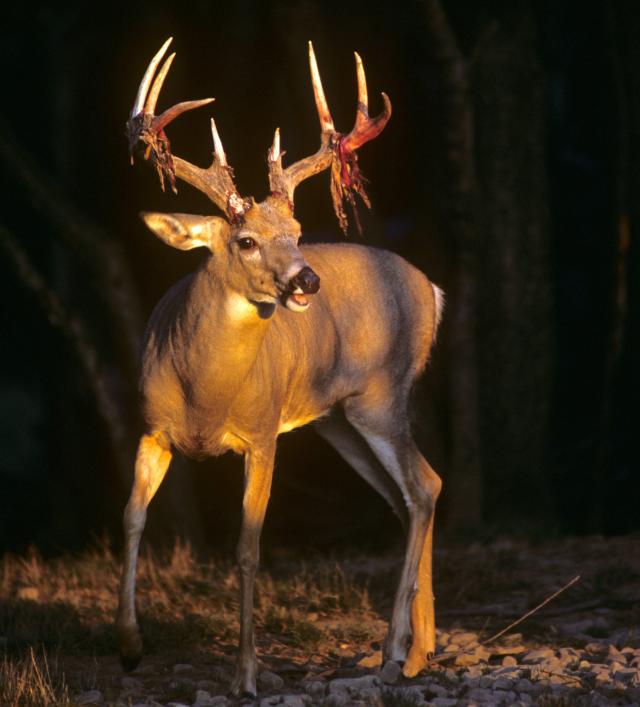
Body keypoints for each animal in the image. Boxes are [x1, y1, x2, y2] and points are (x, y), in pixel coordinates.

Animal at [117, 37, 442, 696]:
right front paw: (131, 646)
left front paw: (245, 674)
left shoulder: (263, 434)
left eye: (295, 229)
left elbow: (247, 549)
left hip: (381, 396)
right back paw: (419, 651)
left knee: (424, 487)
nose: (307, 280)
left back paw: (395, 652)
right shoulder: (151, 427)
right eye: (245, 240)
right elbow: (133, 520)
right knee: (407, 498)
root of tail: (434, 291)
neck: (203, 393)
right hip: (338, 420)